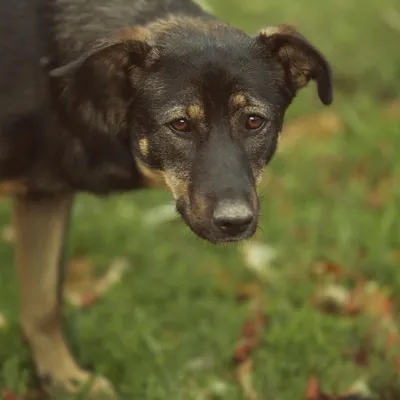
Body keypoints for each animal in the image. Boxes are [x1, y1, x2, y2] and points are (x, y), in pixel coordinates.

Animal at [0, 0, 332, 396]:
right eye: (180, 125)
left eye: (254, 121)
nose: (234, 222)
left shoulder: (44, 196)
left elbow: (43, 304)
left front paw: (65, 380)